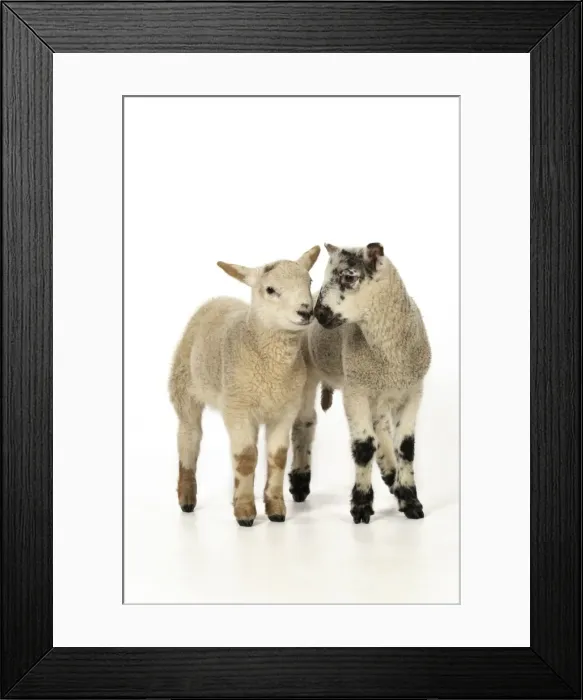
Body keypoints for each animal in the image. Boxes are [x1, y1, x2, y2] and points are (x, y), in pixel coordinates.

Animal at [169, 245, 320, 526]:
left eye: (310, 281)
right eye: (270, 290)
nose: (306, 312)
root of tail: (216, 299)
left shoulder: (284, 410)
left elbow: (277, 457)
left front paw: (275, 509)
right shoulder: (238, 409)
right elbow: (246, 458)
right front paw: (245, 512)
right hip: (184, 389)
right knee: (189, 437)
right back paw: (186, 499)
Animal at [289, 242, 431, 523]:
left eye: (349, 277)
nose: (318, 314)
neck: (389, 353)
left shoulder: (411, 391)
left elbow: (405, 447)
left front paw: (410, 500)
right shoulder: (355, 392)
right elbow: (364, 448)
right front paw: (362, 506)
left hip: (376, 391)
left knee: (380, 427)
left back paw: (391, 477)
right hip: (309, 374)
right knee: (304, 423)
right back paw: (299, 484)